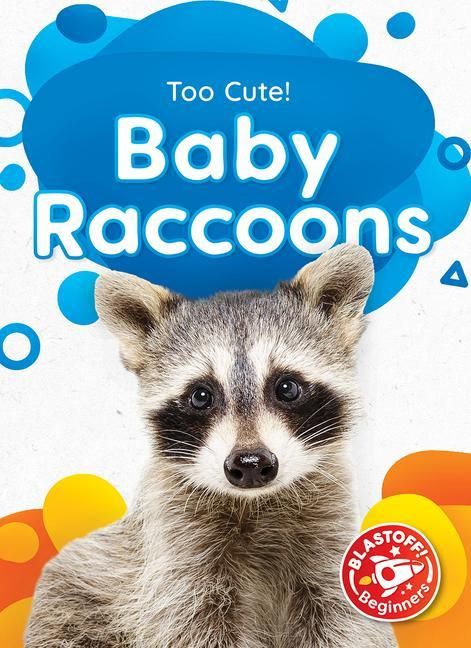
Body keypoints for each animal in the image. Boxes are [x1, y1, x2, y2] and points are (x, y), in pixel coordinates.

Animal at [25, 244, 396, 648]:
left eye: (287, 387)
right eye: (201, 395)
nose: (250, 463)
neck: (256, 503)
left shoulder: (329, 540)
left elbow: (345, 619)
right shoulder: (177, 553)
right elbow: (191, 623)